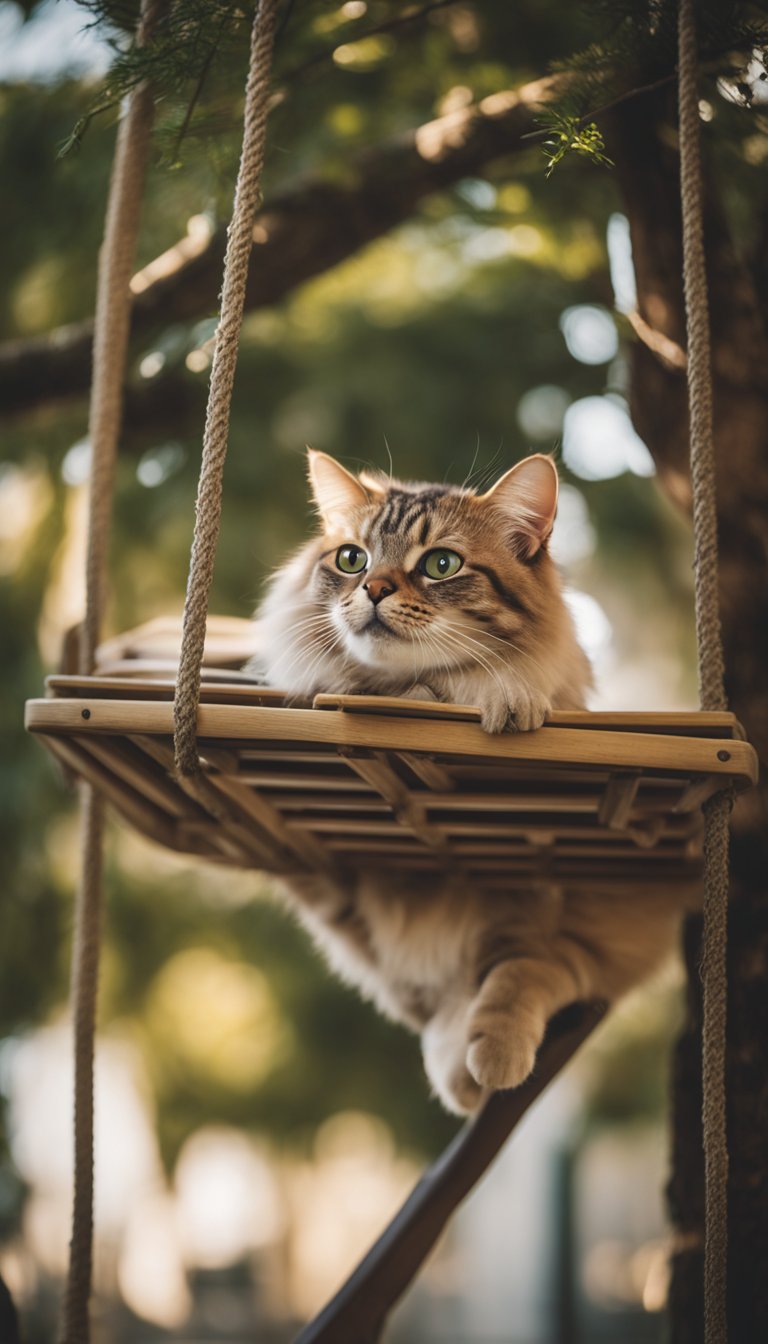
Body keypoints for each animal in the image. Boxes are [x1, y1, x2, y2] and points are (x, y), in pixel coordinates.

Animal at [248, 451, 688, 1112]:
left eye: (441, 564)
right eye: (352, 559)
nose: (373, 589)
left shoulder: (571, 930)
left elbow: (517, 976)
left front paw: (488, 1062)